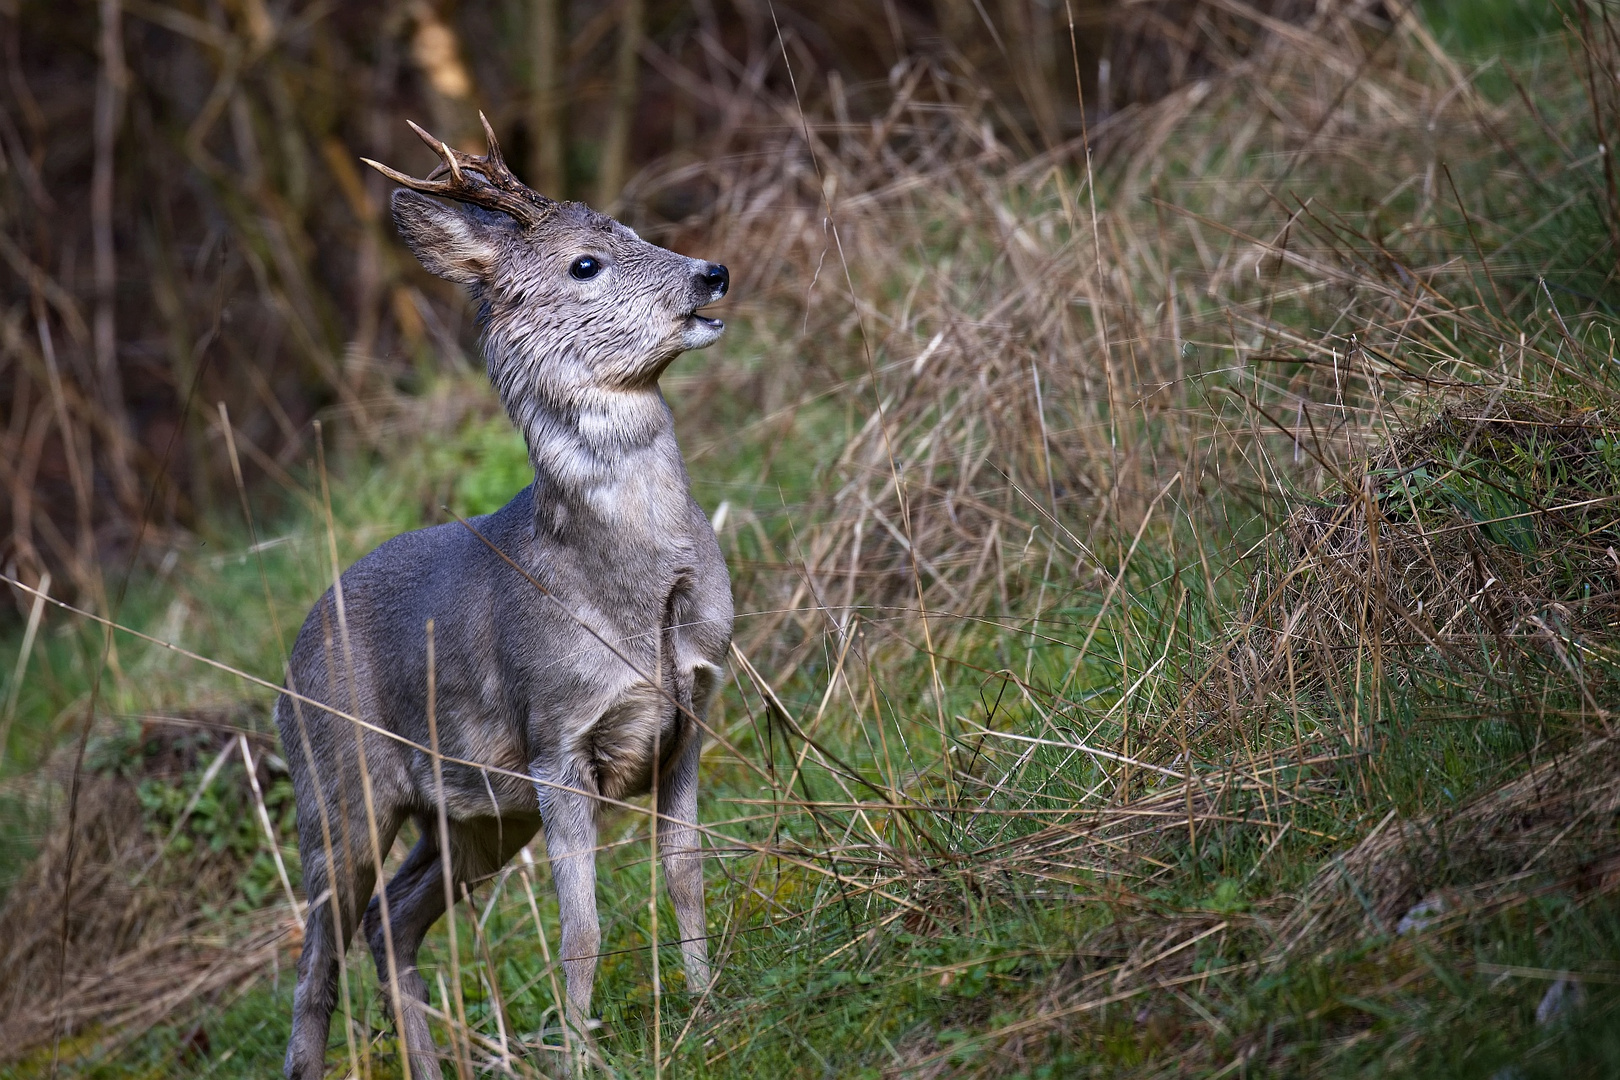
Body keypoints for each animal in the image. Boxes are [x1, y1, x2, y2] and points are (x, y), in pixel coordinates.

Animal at [278, 114, 735, 1075]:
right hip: (338, 788)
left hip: (474, 818)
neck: (634, 598)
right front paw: (582, 1054)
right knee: (315, 962)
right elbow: (581, 930)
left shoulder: (691, 712)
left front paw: (708, 1007)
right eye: (585, 263)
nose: (710, 272)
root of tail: (288, 663)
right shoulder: (556, 737)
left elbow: (686, 873)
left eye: (634, 229)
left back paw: (428, 1063)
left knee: (391, 921)